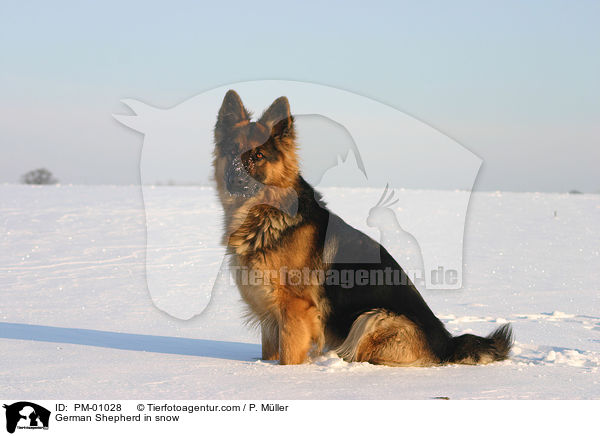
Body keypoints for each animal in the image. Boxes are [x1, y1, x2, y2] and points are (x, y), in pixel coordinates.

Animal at [211, 90, 510, 366]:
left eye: (259, 155)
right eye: (231, 152)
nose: (235, 180)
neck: (266, 214)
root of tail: (446, 343)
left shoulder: (295, 310)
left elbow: (289, 358)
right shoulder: (269, 314)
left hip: (373, 317)